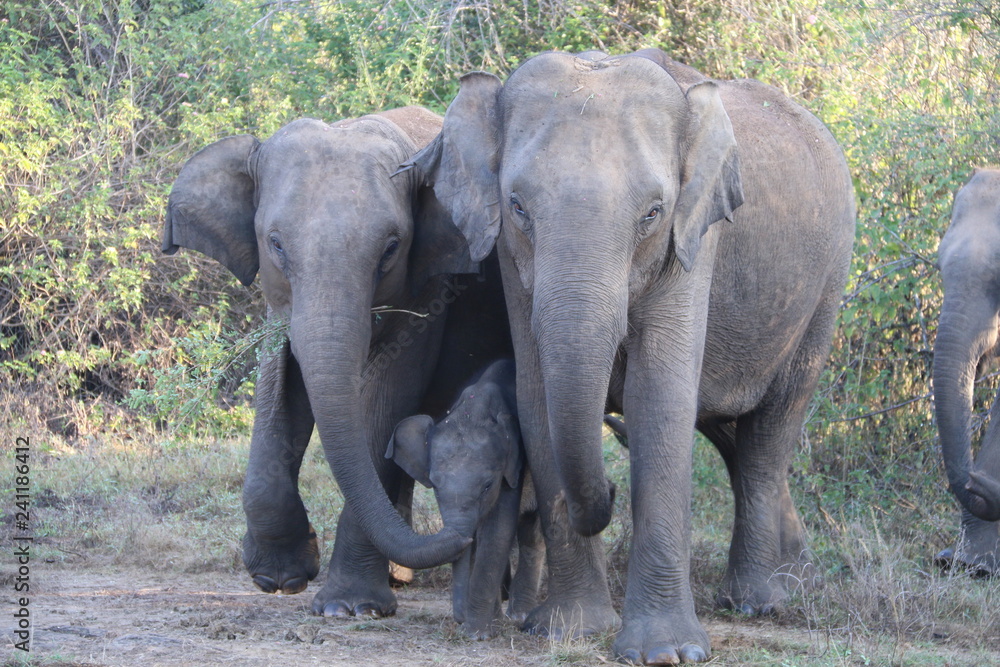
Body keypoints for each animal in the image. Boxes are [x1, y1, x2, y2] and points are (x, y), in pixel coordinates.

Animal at [161, 106, 512, 618]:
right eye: (276, 244)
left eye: (391, 248)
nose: (462, 536)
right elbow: (281, 383)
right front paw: (280, 578)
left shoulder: (430, 288)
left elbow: (386, 396)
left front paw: (349, 608)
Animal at [386, 358, 544, 638]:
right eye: (435, 487)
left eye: (487, 486)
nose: (459, 619)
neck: (476, 406)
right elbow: (480, 536)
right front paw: (482, 624)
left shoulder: (513, 467)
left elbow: (497, 530)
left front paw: (478, 633)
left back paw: (519, 616)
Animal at [405, 50, 856, 663]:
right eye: (517, 207)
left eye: (652, 213)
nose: (609, 497)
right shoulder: (511, 261)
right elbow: (538, 396)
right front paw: (567, 631)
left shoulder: (694, 238)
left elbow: (659, 396)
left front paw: (666, 652)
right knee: (734, 440)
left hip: (825, 289)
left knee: (770, 432)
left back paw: (758, 602)